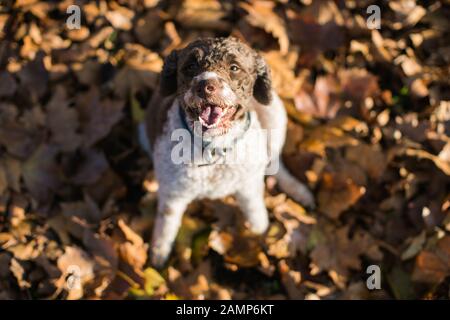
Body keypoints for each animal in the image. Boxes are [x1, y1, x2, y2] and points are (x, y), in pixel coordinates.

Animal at [141, 37, 312, 268]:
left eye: (234, 67)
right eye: (190, 66)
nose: (205, 86)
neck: (214, 149)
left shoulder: (248, 185)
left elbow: (256, 212)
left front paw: (260, 233)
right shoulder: (172, 193)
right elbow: (166, 223)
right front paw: (158, 254)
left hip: (275, 115)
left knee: (274, 161)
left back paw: (299, 191)